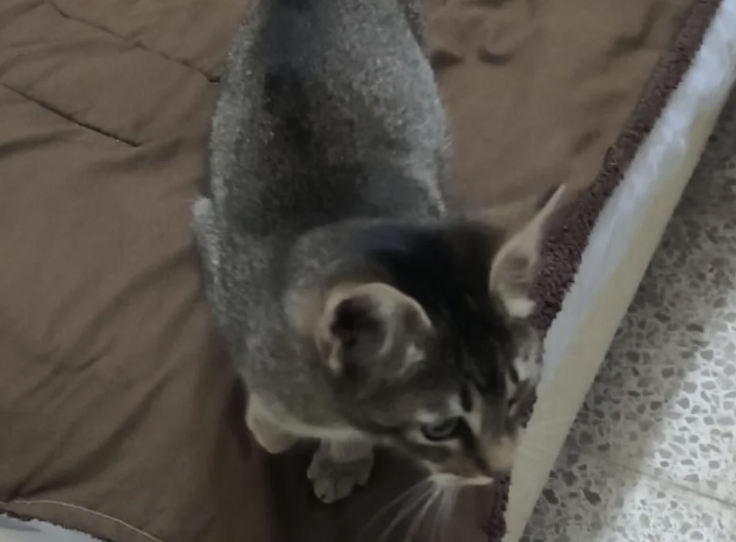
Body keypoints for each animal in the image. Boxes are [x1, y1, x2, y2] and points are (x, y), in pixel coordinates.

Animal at [193, 0, 564, 503]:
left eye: (516, 393)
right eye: (441, 428)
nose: (501, 468)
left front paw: (343, 458)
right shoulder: (215, 248)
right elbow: (270, 429)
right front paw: (280, 425)